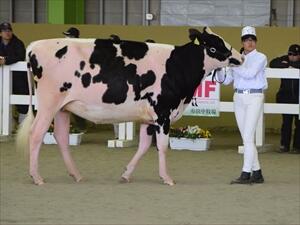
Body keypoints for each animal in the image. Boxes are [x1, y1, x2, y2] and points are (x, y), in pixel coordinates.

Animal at [17, 26, 244, 185]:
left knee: (61, 137)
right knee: (36, 133)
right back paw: (36, 177)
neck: (177, 66)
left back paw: (76, 174)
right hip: (48, 103)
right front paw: (167, 178)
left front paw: (126, 174)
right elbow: (162, 146)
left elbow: (143, 146)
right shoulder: (163, 113)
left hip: (63, 107)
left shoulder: (148, 117)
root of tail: (34, 46)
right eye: (213, 46)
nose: (240, 57)